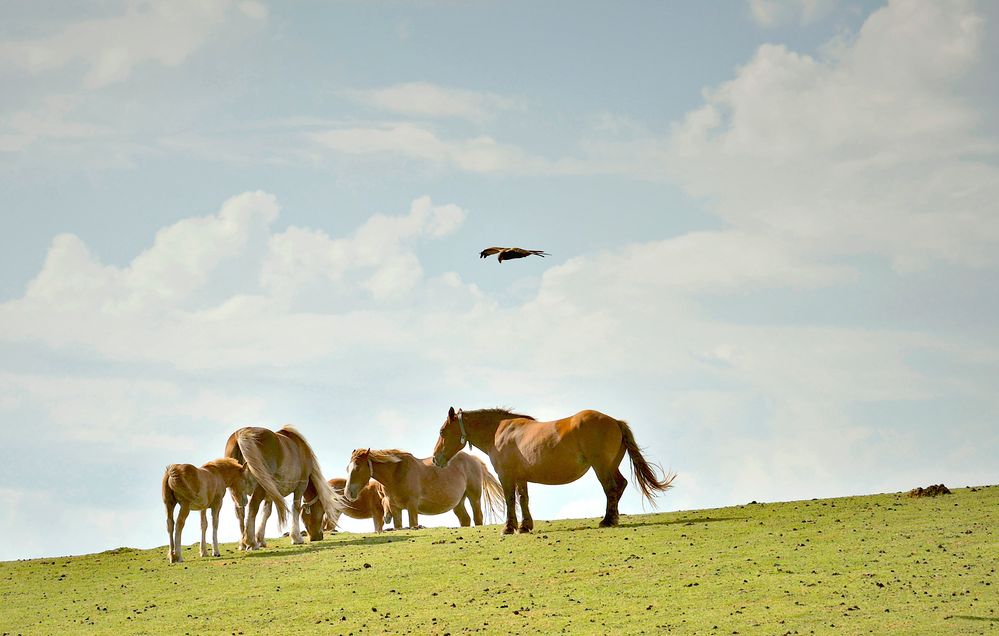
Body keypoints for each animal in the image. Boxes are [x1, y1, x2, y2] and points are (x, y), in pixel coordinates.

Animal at [344, 450, 504, 528]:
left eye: (357, 468)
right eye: (348, 468)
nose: (348, 493)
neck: (396, 473)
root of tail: (473, 459)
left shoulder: (412, 505)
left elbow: (413, 524)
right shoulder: (395, 508)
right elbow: (399, 526)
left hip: (474, 497)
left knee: (478, 517)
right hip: (458, 503)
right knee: (465, 519)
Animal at [434, 408, 676, 532]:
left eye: (442, 431)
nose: (436, 458)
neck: (500, 431)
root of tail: (614, 421)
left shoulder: (507, 476)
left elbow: (511, 500)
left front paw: (509, 527)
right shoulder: (521, 477)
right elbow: (523, 499)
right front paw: (525, 526)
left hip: (601, 466)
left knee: (611, 488)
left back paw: (608, 520)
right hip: (610, 465)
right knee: (620, 485)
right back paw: (612, 517)